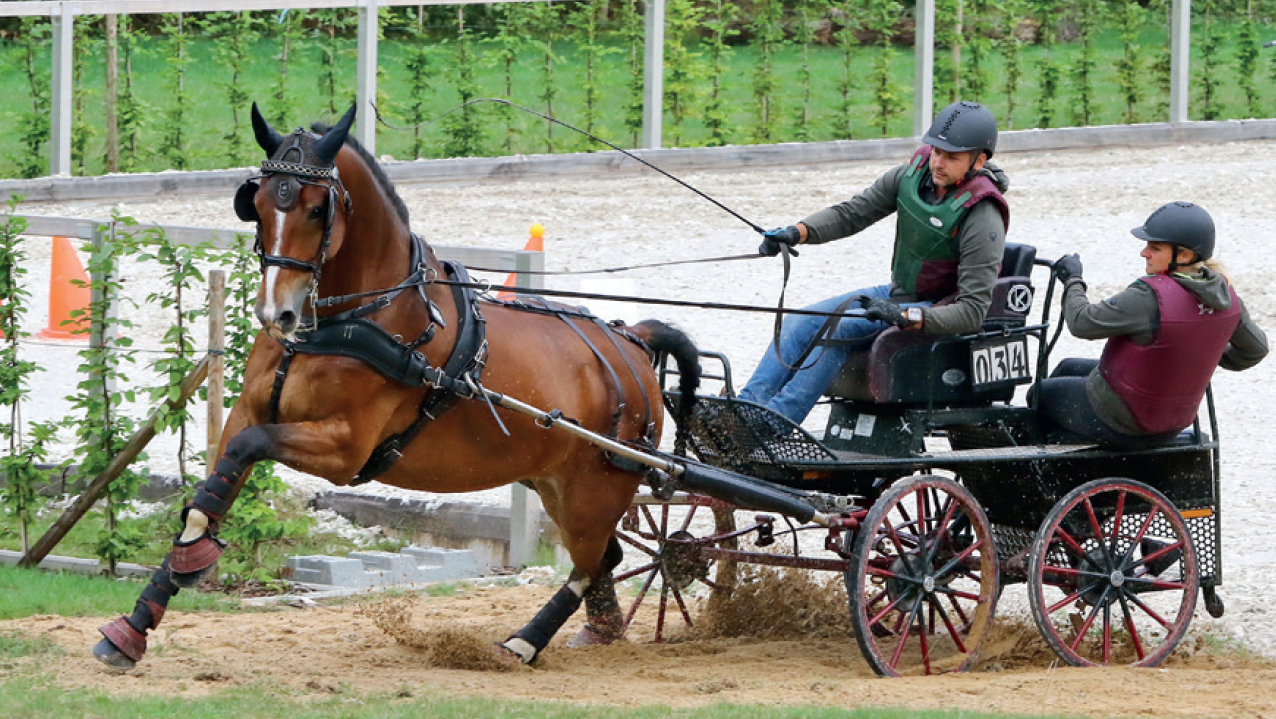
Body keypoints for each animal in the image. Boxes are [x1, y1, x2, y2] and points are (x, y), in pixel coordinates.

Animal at [94, 104, 704, 674]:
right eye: (258, 203)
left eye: (317, 208)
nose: (276, 313)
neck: (350, 322)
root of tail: (631, 341)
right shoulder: (247, 412)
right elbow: (209, 496)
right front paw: (136, 624)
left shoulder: (344, 448)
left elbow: (246, 454)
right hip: (554, 482)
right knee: (605, 557)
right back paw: (592, 633)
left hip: (594, 491)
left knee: (592, 559)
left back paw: (525, 642)